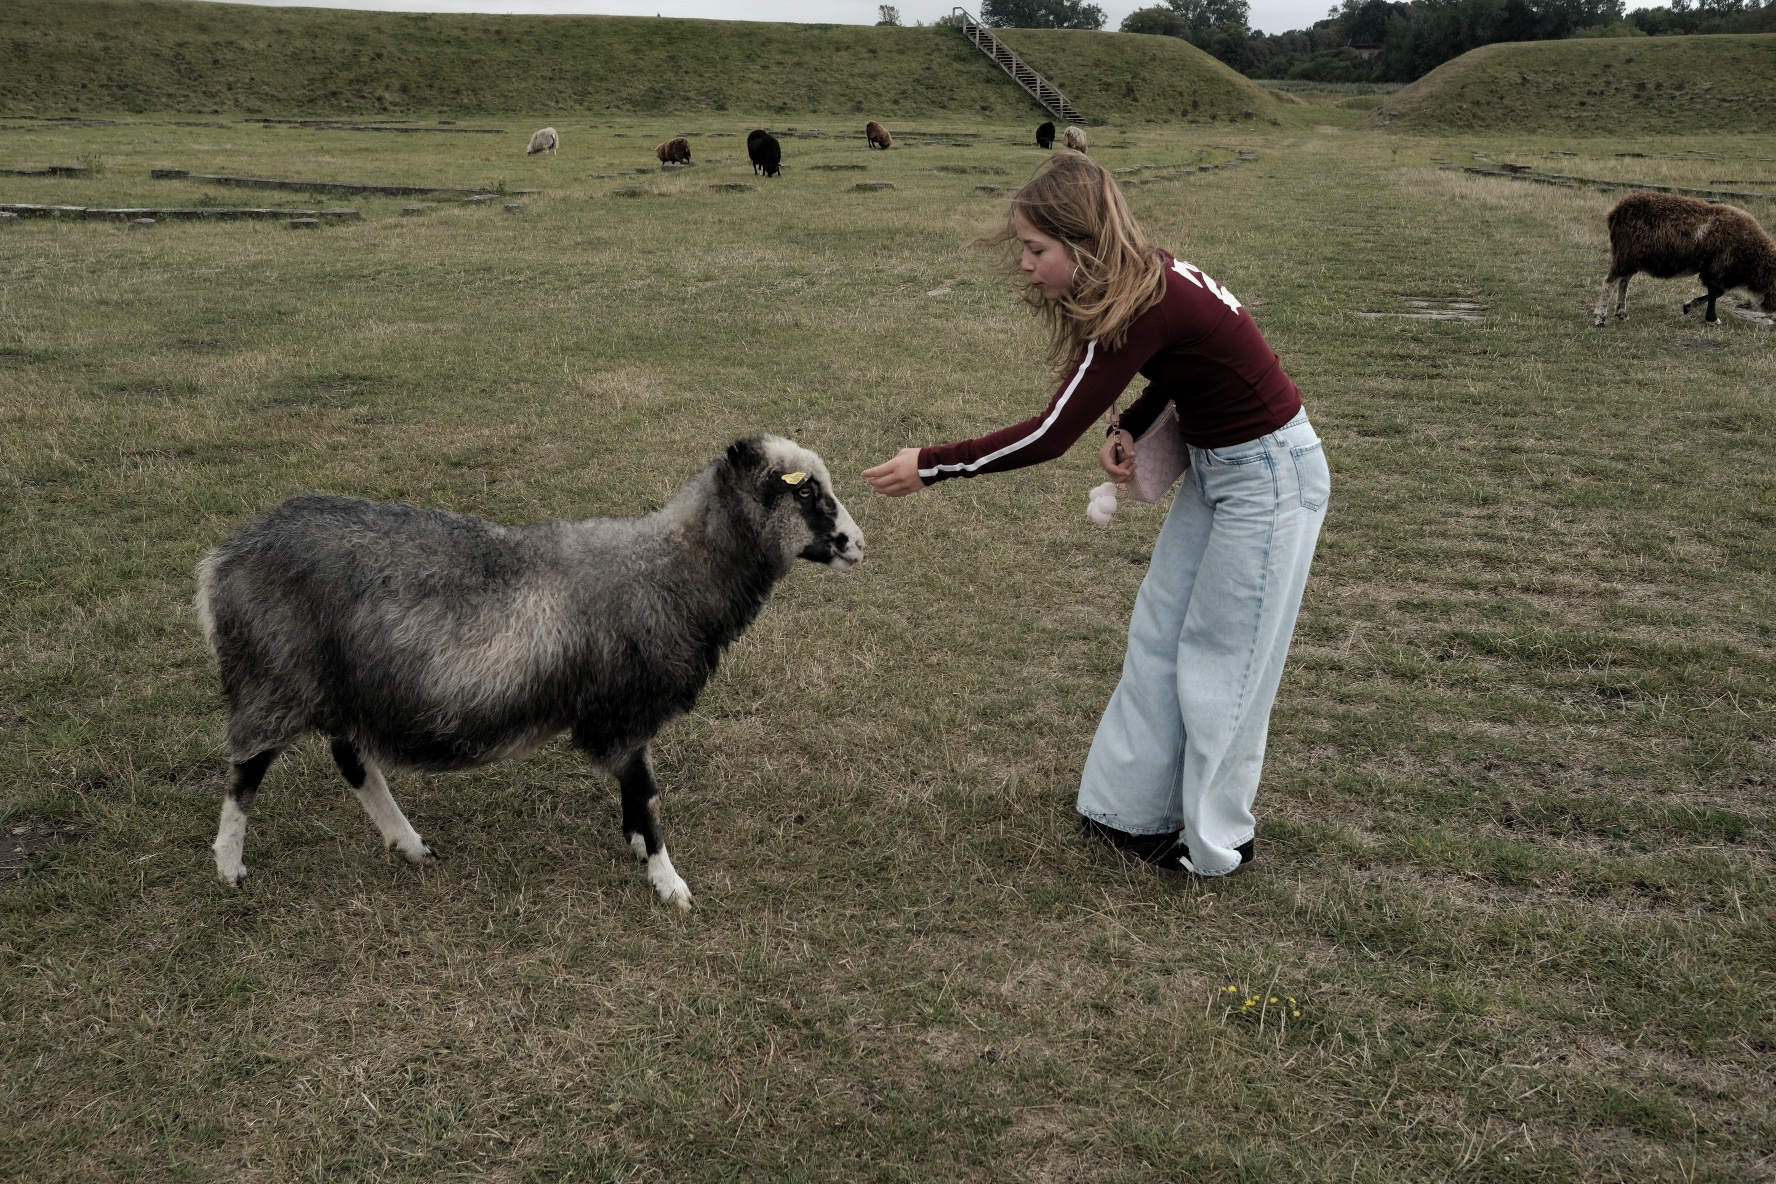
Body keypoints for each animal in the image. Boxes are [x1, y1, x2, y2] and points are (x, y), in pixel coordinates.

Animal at [196, 436, 864, 910]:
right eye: (805, 494)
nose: (857, 543)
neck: (671, 568)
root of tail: (221, 562)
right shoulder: (623, 705)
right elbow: (647, 792)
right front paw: (667, 879)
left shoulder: (625, 715)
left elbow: (635, 786)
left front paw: (637, 845)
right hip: (274, 678)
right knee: (246, 773)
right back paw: (229, 867)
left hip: (340, 686)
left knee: (352, 762)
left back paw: (408, 843)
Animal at [1595, 191, 1776, 327]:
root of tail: (1616, 212)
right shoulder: (1715, 268)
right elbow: (1715, 293)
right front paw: (1711, 319)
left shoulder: (1714, 270)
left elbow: (1717, 293)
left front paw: (1688, 306)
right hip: (1626, 254)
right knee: (1610, 281)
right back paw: (1600, 318)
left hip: (1631, 258)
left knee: (1623, 282)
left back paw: (1622, 314)